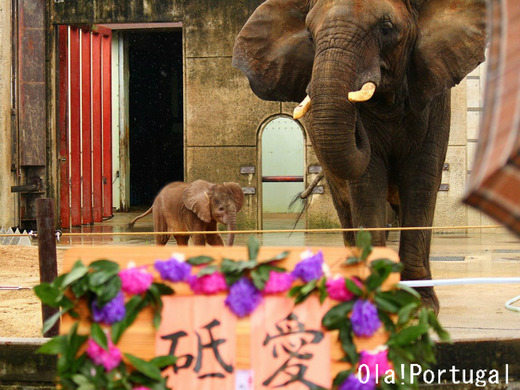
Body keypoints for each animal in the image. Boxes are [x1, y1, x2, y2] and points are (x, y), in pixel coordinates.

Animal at [234, 0, 486, 312]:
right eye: (309, 35)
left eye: (386, 28)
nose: (356, 121)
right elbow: (367, 184)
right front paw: (379, 299)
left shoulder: (434, 100)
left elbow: (421, 182)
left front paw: (420, 306)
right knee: (347, 209)